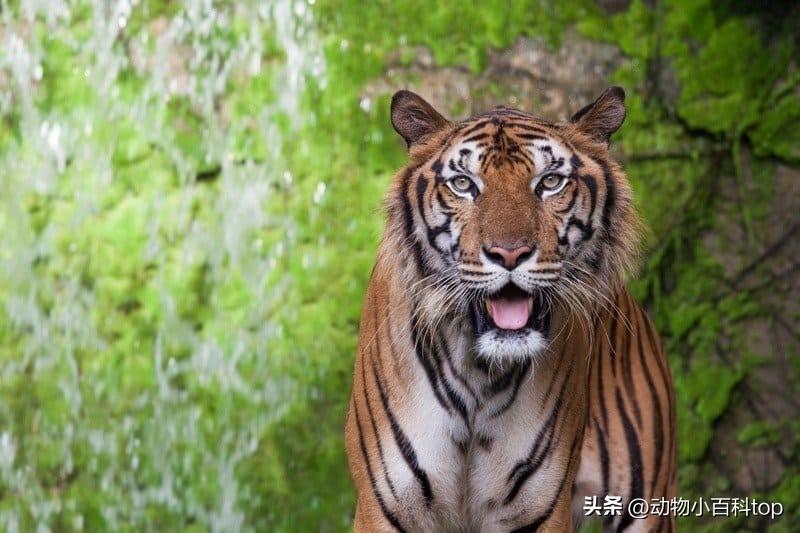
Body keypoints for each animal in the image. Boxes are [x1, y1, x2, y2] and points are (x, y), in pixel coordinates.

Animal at [344, 86, 677, 532]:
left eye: (550, 182)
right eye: (463, 184)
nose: (509, 254)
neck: (479, 376)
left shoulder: (538, 508)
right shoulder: (387, 506)